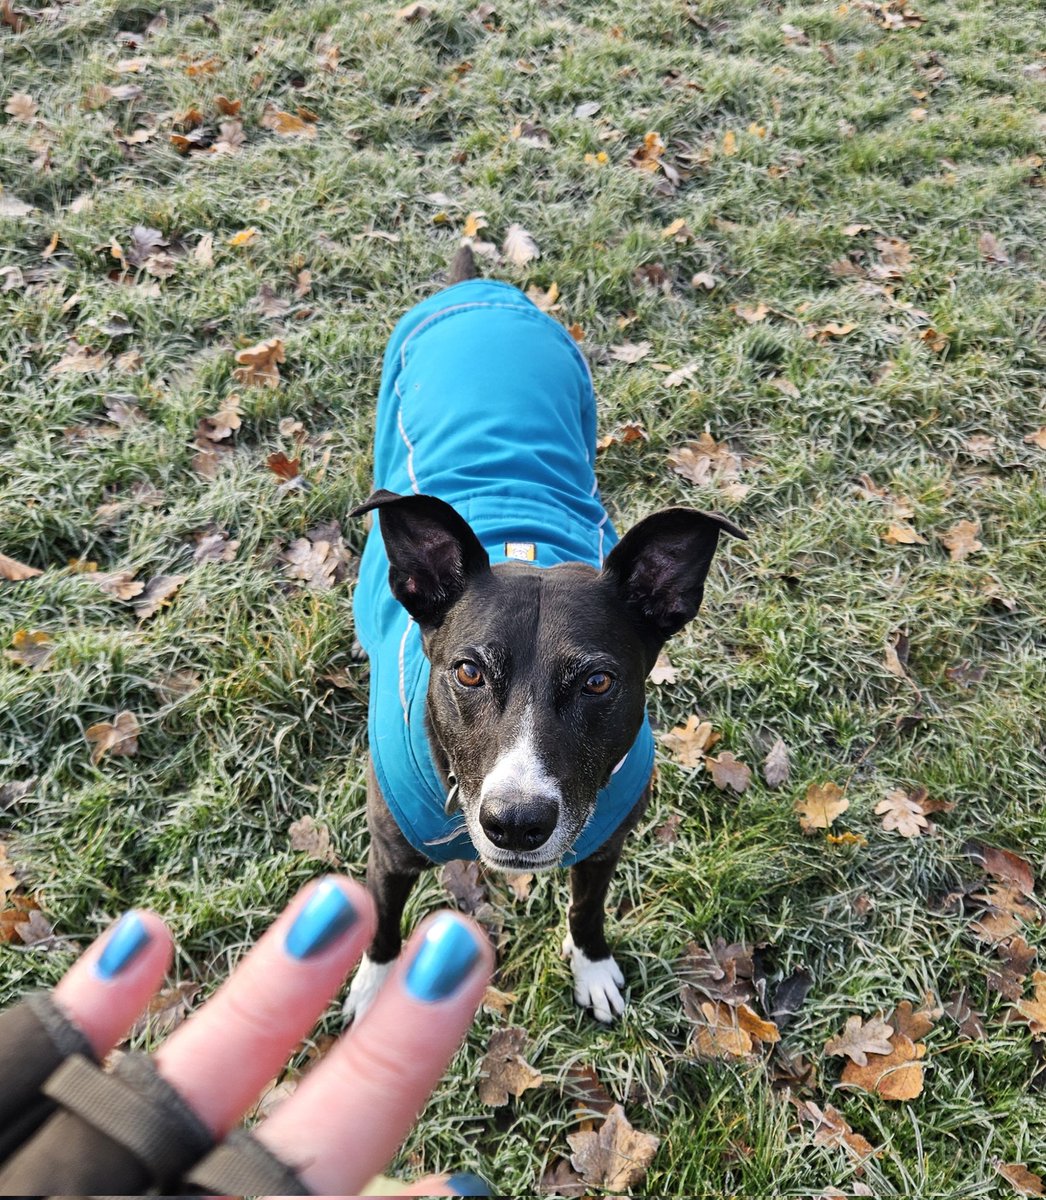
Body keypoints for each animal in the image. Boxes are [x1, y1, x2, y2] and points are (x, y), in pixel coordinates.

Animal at [345, 250, 743, 1022]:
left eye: (597, 681)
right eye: (468, 672)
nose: (517, 823)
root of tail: (481, 286)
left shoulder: (604, 843)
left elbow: (588, 909)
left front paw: (591, 967)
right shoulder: (390, 851)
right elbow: (380, 921)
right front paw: (374, 987)